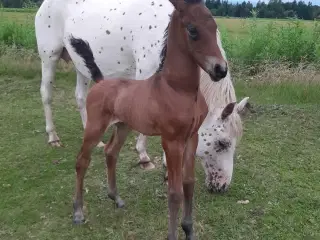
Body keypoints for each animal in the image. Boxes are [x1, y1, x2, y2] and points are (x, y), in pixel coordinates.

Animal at [35, 0, 250, 192]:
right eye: (222, 143)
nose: (222, 186)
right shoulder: (146, 75)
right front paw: (145, 158)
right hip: (49, 57)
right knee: (46, 94)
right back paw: (52, 137)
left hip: (81, 64)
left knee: (80, 97)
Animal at [68, 0, 228, 238]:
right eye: (192, 30)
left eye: (214, 27)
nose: (220, 69)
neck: (179, 89)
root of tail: (101, 82)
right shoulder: (171, 141)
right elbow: (175, 191)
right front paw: (173, 235)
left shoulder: (192, 137)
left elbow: (189, 183)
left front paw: (189, 230)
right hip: (95, 127)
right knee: (82, 161)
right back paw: (78, 212)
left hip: (123, 126)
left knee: (111, 153)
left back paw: (116, 198)